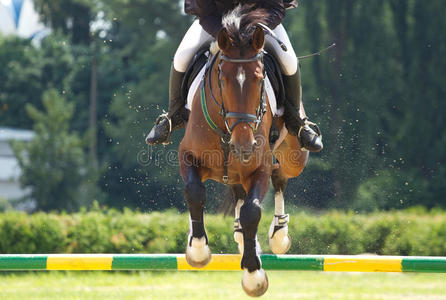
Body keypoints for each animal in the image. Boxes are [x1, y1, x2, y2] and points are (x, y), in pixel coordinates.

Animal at [177, 5, 306, 298]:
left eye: (260, 80)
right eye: (222, 81)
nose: (244, 146)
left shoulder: (259, 168)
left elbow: (252, 211)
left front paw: (253, 275)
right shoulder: (187, 156)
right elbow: (194, 192)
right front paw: (197, 249)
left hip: (293, 157)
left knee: (280, 177)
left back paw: (278, 234)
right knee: (237, 191)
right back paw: (239, 235)